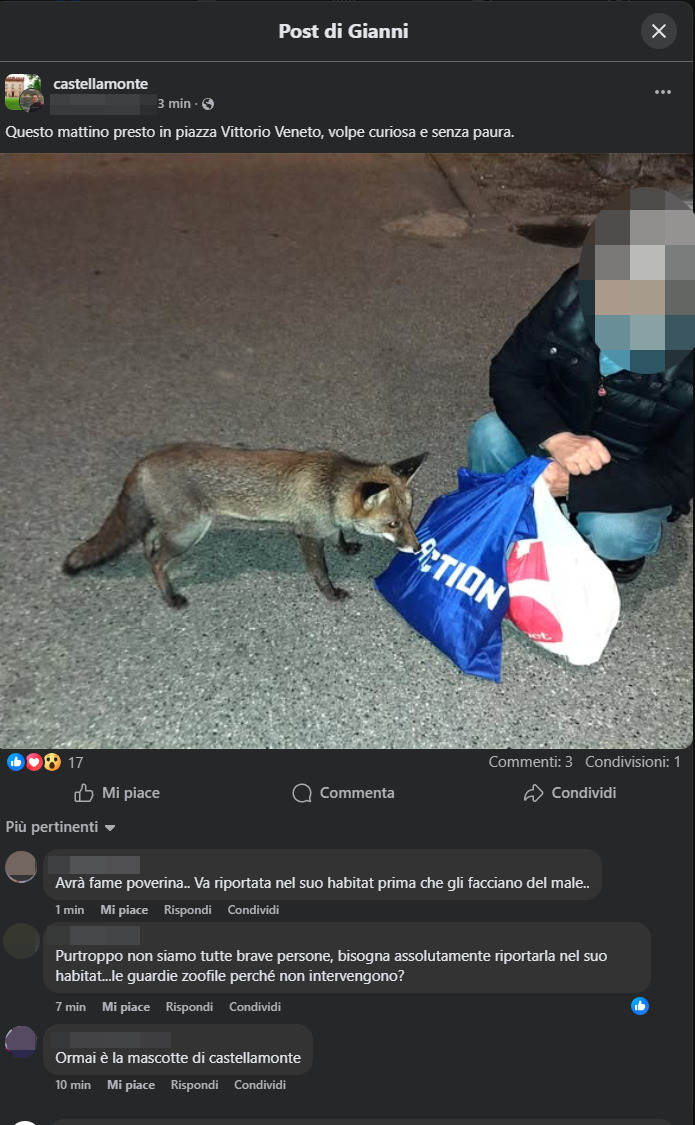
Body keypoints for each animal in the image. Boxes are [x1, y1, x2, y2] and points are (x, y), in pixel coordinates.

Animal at [62, 444, 429, 608]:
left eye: (411, 518)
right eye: (393, 523)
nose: (417, 547)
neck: (330, 486)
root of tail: (145, 461)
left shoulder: (324, 523)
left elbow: (338, 534)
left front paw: (346, 547)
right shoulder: (307, 533)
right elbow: (321, 572)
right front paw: (330, 593)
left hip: (175, 526)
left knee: (148, 535)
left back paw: (148, 549)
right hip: (188, 533)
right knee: (157, 563)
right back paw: (170, 596)